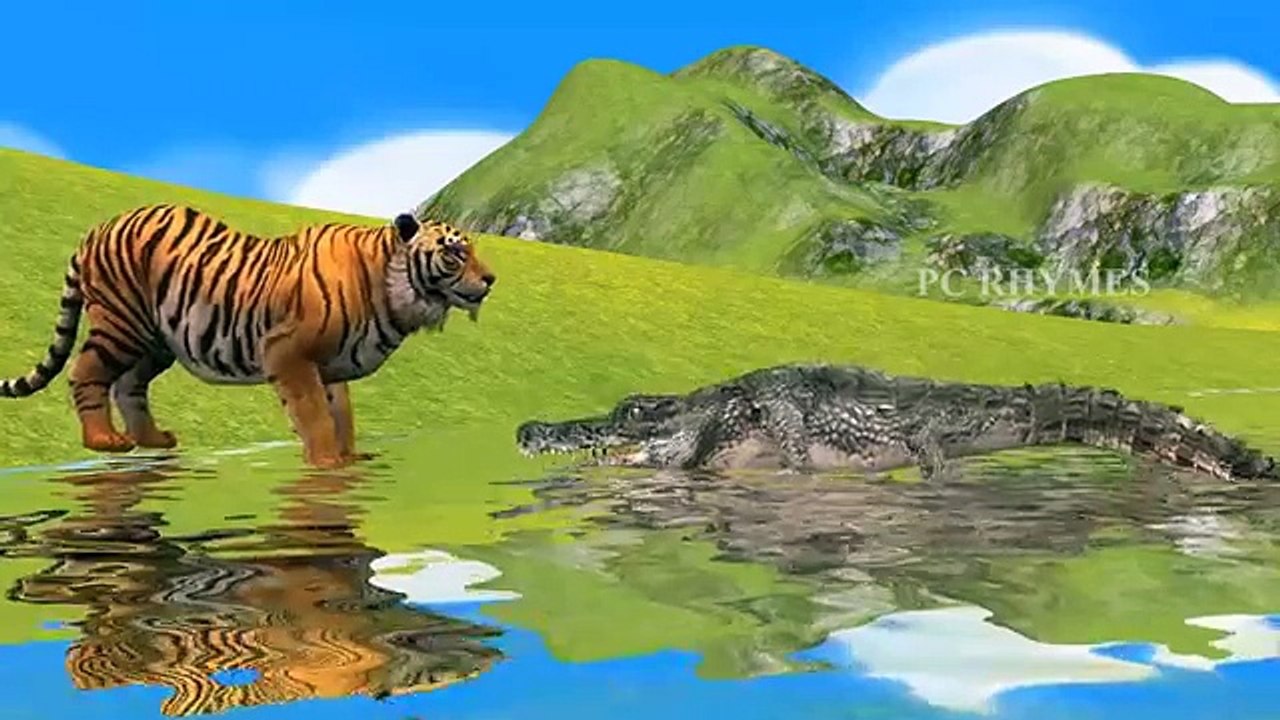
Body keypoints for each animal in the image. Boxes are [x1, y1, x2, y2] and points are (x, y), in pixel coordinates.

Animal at [0, 204, 496, 468]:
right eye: (455, 252)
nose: (491, 279)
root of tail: (99, 227)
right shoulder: (288, 354)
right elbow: (315, 416)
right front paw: (327, 464)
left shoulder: (331, 366)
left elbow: (342, 415)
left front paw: (350, 459)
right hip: (121, 324)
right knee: (86, 372)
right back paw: (103, 441)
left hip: (156, 340)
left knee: (128, 385)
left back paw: (154, 440)